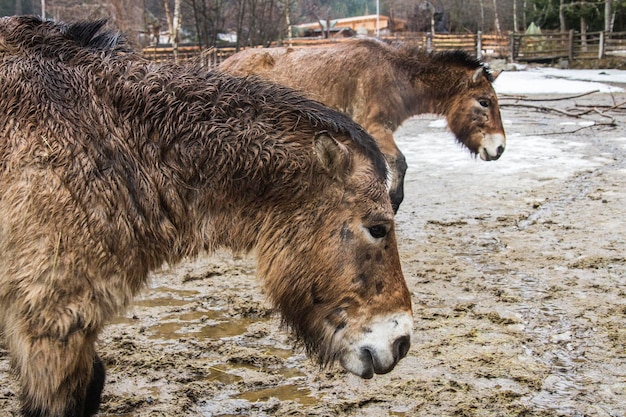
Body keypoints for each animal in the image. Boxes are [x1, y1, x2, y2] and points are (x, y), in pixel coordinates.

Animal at [219, 39, 508, 211]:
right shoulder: (376, 129)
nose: (500, 148)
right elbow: (399, 163)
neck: (394, 75)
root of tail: (224, 64)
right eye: (484, 102)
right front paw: (390, 204)